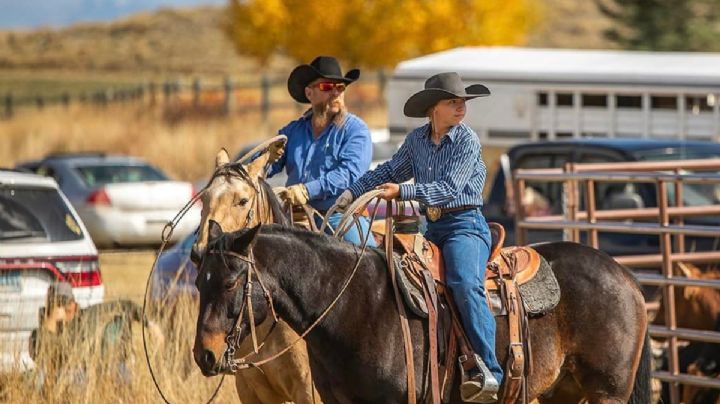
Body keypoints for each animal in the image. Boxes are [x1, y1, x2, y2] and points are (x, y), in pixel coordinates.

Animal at [191, 219, 652, 404]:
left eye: (230, 283)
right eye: (198, 282)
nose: (204, 355)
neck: (352, 304)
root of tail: (626, 277)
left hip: (607, 392)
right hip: (563, 391)